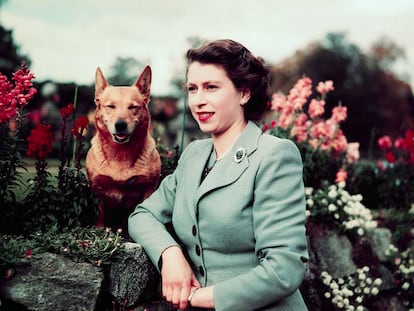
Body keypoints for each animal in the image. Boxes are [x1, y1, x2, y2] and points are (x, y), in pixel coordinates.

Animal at [85, 66, 160, 230]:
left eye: (132, 107)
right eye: (110, 106)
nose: (120, 125)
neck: (120, 153)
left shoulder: (149, 188)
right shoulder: (97, 188)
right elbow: (99, 217)